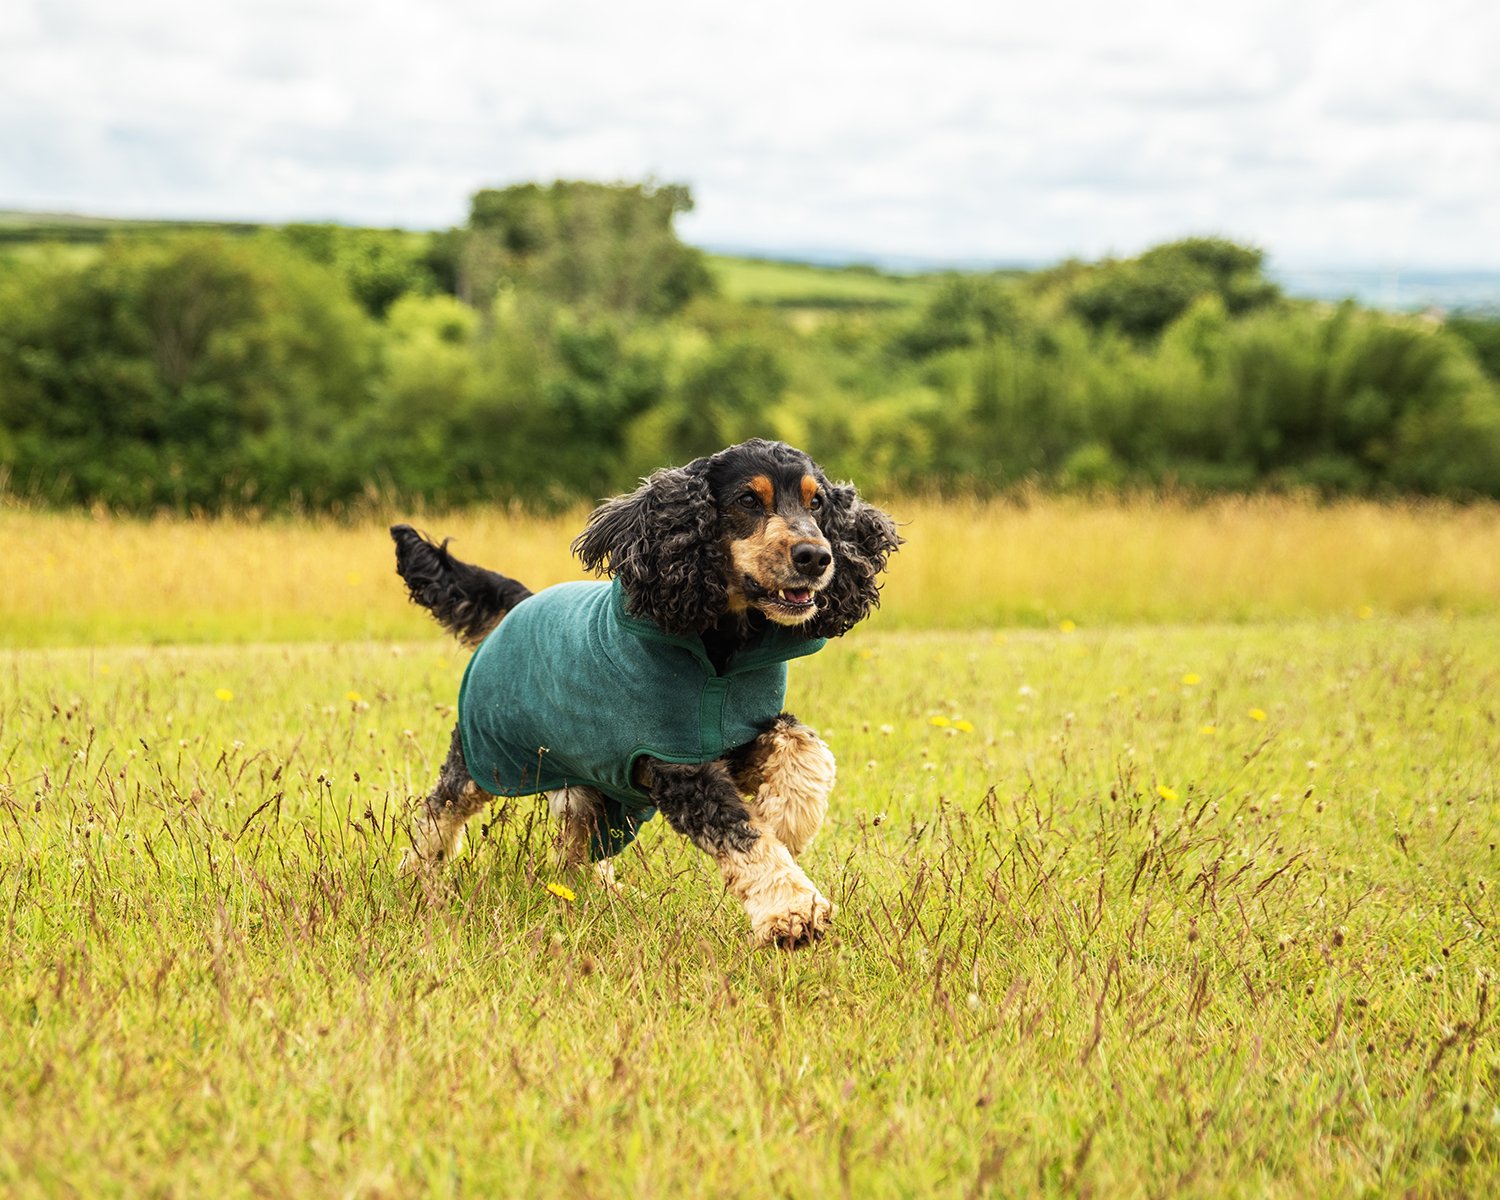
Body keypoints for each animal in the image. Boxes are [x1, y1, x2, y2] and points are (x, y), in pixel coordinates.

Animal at [393, 438, 894, 948]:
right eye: (748, 500)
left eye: (817, 502)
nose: (816, 557)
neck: (718, 652)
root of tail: (522, 603)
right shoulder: (679, 766)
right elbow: (743, 837)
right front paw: (792, 910)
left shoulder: (729, 737)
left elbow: (804, 744)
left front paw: (790, 820)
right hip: (487, 756)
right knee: (441, 810)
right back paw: (415, 877)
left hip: (592, 786)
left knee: (576, 845)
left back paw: (598, 893)